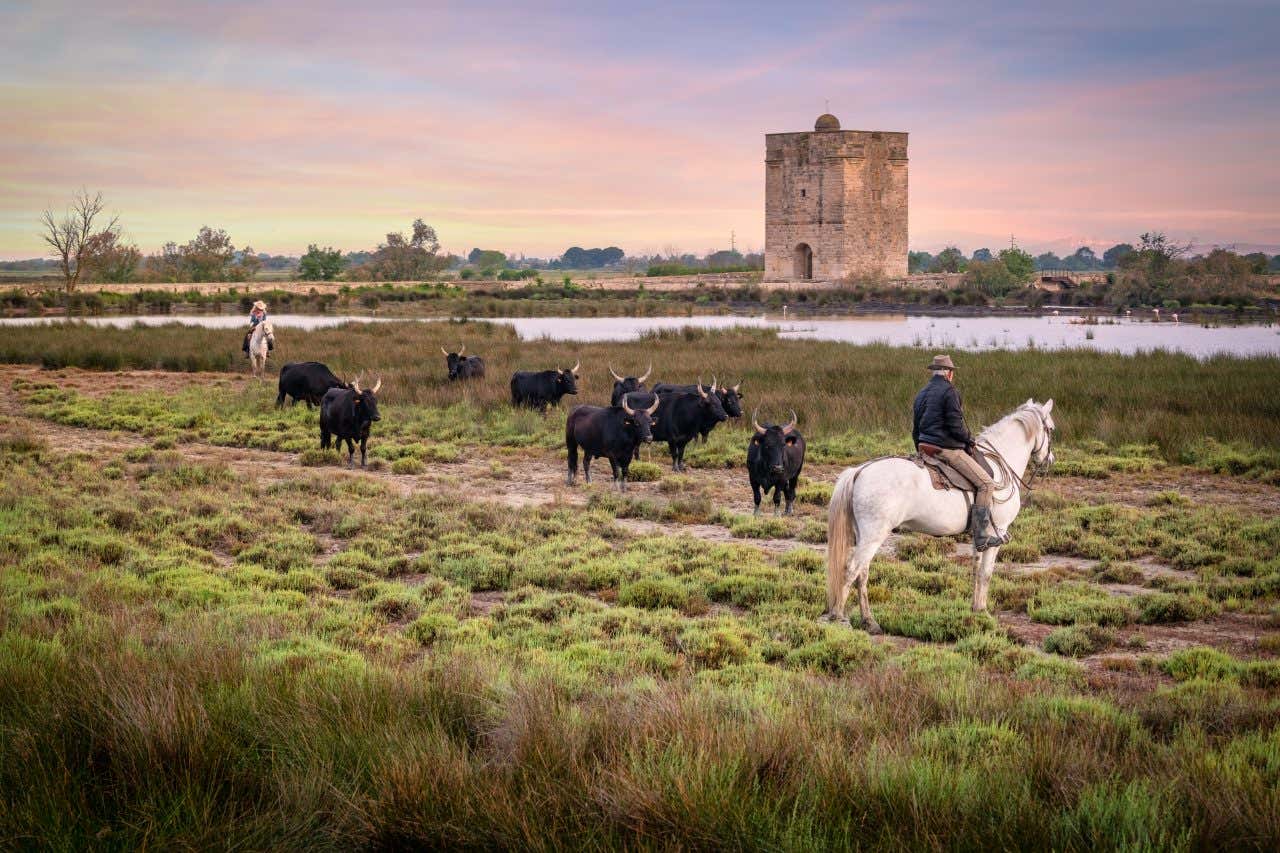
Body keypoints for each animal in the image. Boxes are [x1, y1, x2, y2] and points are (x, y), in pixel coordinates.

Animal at [824, 399, 1054, 630]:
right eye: (1051, 429)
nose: (1050, 459)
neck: (999, 465)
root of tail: (859, 470)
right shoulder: (997, 530)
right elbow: (986, 573)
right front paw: (984, 612)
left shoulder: (980, 536)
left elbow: (976, 569)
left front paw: (975, 610)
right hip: (874, 535)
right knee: (851, 570)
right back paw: (838, 618)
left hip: (864, 536)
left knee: (862, 573)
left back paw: (869, 621)